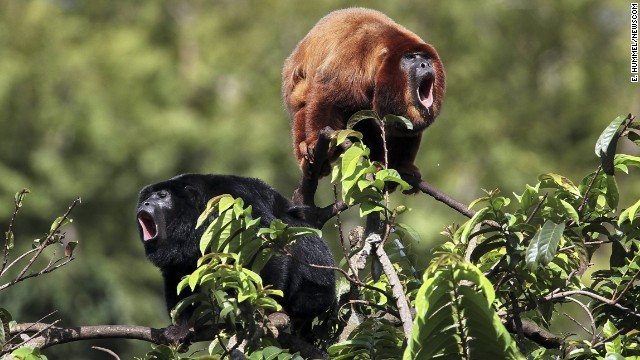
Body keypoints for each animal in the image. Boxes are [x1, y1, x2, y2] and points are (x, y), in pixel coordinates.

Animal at [135, 173, 336, 342]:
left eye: (162, 195)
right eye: (146, 198)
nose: (145, 204)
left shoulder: (234, 203)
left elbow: (263, 245)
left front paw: (264, 307)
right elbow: (178, 274)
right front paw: (181, 327)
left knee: (292, 227)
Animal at [282, 9, 448, 180]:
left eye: (425, 57)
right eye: (411, 57)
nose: (425, 64)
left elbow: (402, 130)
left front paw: (404, 166)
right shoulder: (353, 59)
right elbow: (326, 94)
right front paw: (314, 142)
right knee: (303, 103)